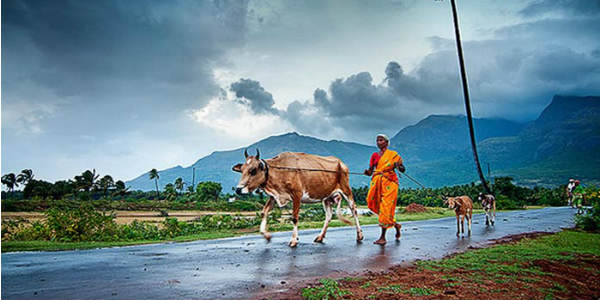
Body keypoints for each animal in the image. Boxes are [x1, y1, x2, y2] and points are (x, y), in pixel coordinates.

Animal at [232, 149, 364, 246]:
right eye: (242, 170)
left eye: (253, 170)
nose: (238, 189)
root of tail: (341, 163)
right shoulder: (274, 196)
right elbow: (264, 212)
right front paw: (266, 235)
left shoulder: (297, 195)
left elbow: (294, 218)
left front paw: (294, 240)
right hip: (326, 197)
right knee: (329, 215)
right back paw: (320, 237)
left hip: (346, 190)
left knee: (354, 210)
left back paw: (359, 235)